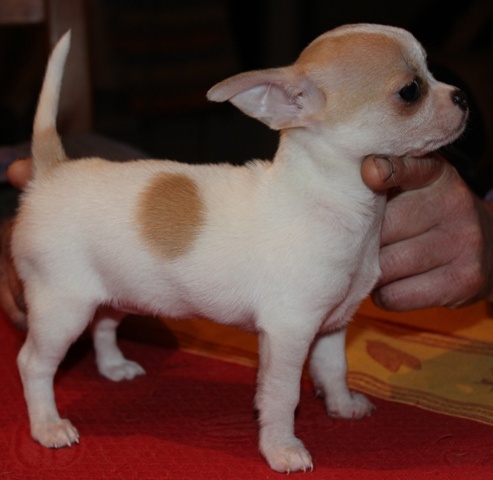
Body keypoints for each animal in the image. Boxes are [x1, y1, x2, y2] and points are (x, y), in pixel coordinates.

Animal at [13, 24, 468, 473]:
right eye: (410, 91)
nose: (462, 96)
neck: (341, 205)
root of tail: (52, 171)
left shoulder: (332, 324)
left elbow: (334, 368)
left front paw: (342, 405)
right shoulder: (288, 332)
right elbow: (282, 395)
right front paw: (282, 448)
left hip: (120, 291)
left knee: (104, 324)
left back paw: (113, 367)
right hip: (62, 308)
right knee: (33, 363)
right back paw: (47, 425)